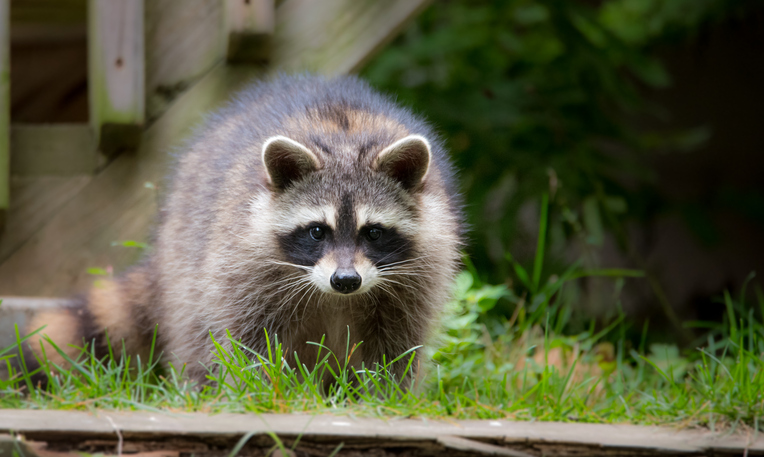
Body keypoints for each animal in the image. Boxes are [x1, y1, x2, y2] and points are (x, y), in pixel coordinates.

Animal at [24, 75, 463, 385]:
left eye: (372, 232)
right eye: (317, 231)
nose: (345, 280)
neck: (344, 132)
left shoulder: (420, 270)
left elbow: (396, 344)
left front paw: (382, 394)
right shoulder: (244, 261)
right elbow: (247, 338)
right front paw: (257, 389)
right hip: (190, 251)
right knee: (197, 326)